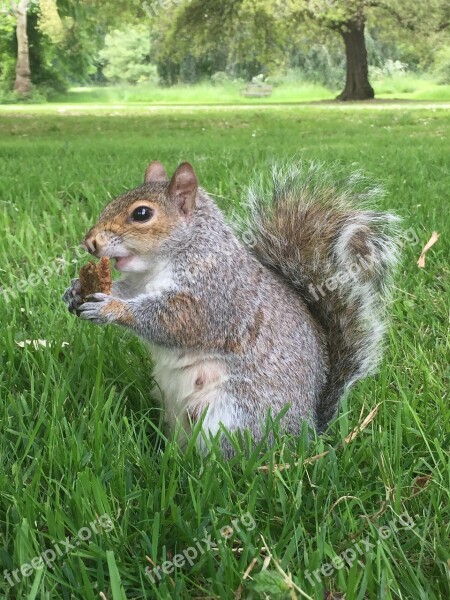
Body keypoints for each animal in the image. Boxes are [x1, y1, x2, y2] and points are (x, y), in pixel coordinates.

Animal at [61, 159, 400, 454]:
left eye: (142, 214)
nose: (89, 242)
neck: (162, 264)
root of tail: (306, 434)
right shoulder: (137, 285)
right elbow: (124, 290)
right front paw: (76, 291)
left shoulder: (214, 295)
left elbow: (173, 322)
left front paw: (111, 309)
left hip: (230, 415)